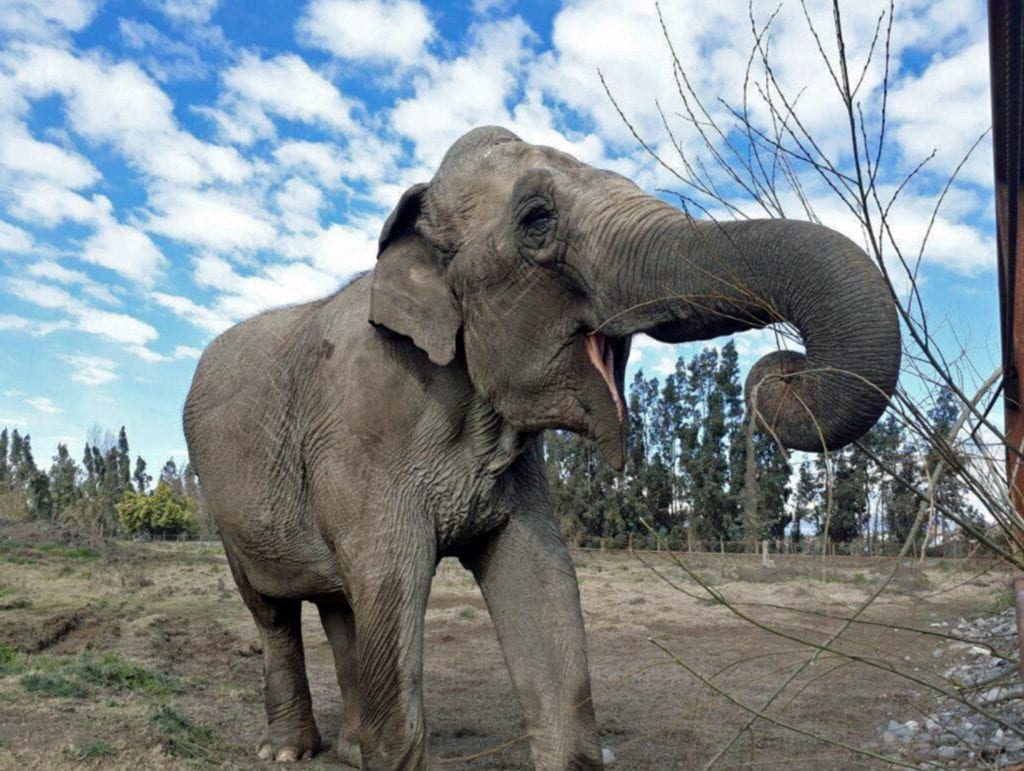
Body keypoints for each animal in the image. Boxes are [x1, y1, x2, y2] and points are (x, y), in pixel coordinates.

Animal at [183, 125, 900, 769]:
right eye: (536, 219)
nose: (782, 372)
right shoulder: (363, 440)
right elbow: (392, 585)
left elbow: (542, 579)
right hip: (224, 504)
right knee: (275, 612)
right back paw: (286, 751)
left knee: (339, 604)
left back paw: (351, 750)